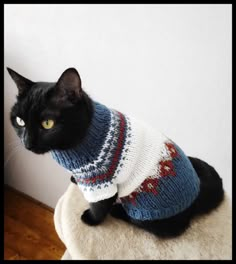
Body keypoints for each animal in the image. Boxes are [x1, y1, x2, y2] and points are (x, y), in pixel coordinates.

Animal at [7, 67, 224, 237]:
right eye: (20, 121)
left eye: (47, 124)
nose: (27, 142)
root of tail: (197, 196)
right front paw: (75, 180)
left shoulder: (101, 179)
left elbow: (100, 205)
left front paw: (91, 219)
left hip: (145, 206)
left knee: (169, 229)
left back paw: (119, 211)